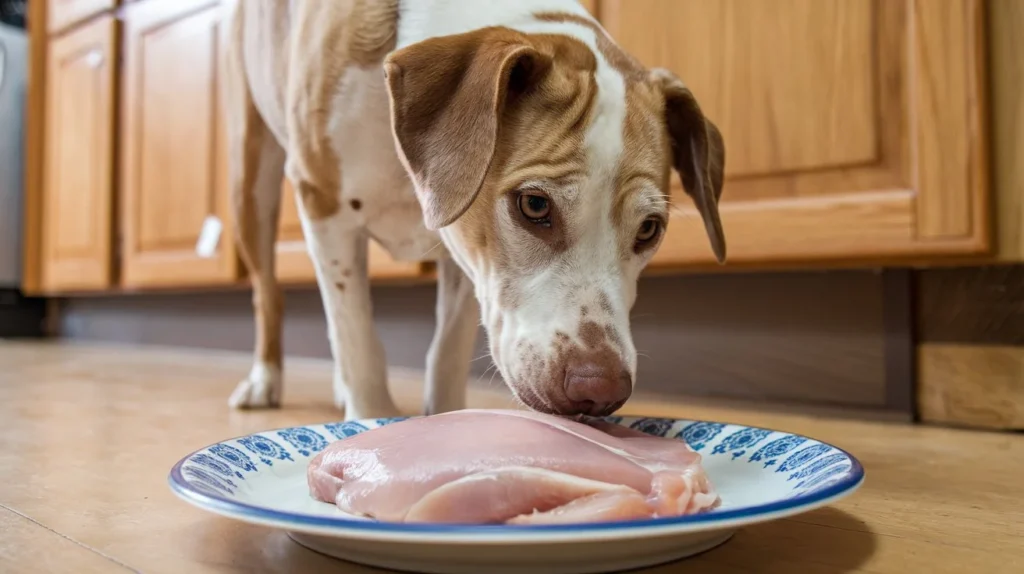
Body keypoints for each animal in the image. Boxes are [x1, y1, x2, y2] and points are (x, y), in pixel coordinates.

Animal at [222, 0, 729, 421]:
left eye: (649, 229)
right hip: (251, 183)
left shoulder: (470, 245)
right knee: (270, 293)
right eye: (534, 205)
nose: (600, 390)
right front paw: (370, 423)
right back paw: (264, 380)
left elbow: (447, 347)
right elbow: (357, 338)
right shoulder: (325, 206)